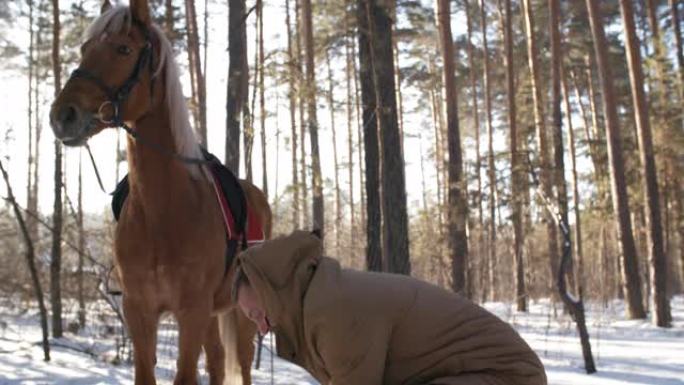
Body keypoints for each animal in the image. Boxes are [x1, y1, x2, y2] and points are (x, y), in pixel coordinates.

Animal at [47, 0, 268, 384]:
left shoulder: (191, 311)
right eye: (85, 49)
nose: (63, 115)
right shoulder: (139, 309)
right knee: (216, 358)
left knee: (240, 360)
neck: (164, 212)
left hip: (240, 313)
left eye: (123, 49)